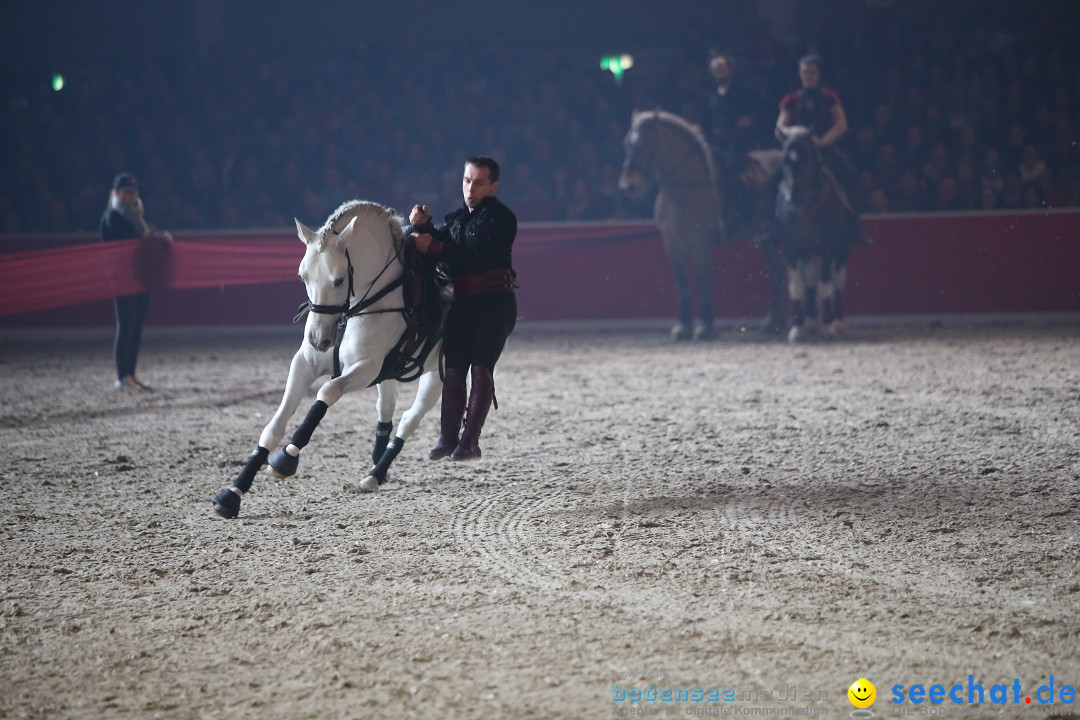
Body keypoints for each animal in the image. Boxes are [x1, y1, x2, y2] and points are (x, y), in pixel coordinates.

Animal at [210, 201, 442, 518]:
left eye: (339, 280)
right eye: (303, 276)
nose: (318, 340)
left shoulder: (366, 369)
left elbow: (326, 392)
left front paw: (287, 458)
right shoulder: (305, 364)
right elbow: (274, 426)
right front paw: (233, 492)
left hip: (437, 376)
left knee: (409, 419)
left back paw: (376, 473)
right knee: (387, 409)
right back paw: (377, 467)